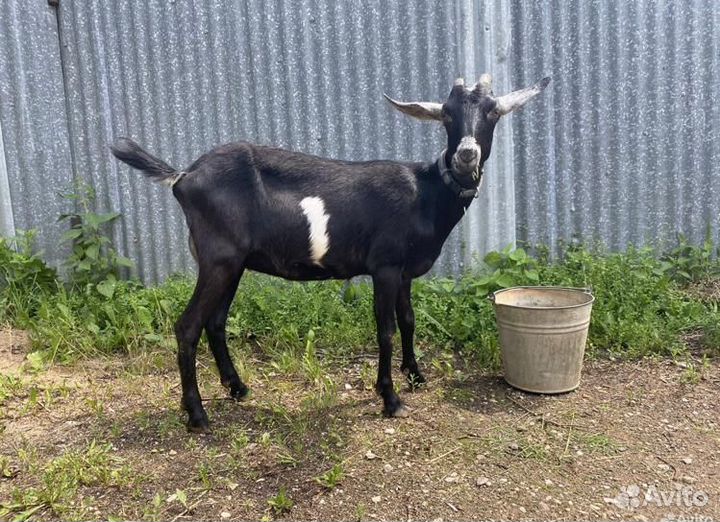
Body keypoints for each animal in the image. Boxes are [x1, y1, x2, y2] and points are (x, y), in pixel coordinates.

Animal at [110, 74, 550, 432]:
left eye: (492, 112)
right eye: (445, 115)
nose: (465, 155)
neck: (424, 194)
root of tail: (183, 176)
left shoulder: (405, 271)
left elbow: (408, 321)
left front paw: (416, 376)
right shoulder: (385, 266)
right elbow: (386, 329)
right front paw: (391, 398)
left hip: (232, 264)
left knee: (215, 322)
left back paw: (238, 389)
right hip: (218, 259)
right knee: (188, 326)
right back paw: (198, 415)